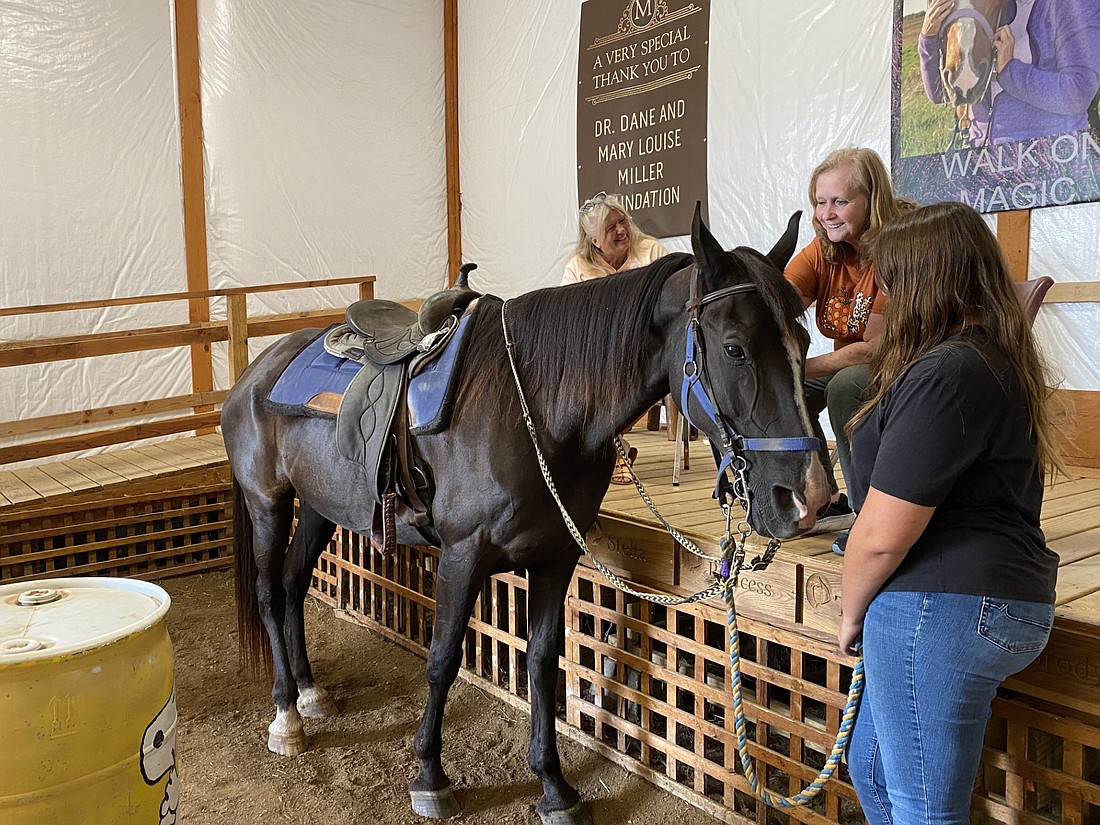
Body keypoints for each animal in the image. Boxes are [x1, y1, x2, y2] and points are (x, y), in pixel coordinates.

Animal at [221, 210, 827, 822]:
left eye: (802, 340)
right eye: (734, 349)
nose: (808, 497)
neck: (537, 404)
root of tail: (256, 371)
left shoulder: (556, 556)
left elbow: (541, 661)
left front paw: (553, 785)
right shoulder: (461, 556)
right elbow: (443, 659)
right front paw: (429, 774)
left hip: (322, 509)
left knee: (294, 583)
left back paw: (309, 693)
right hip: (269, 504)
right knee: (269, 591)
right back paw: (286, 715)